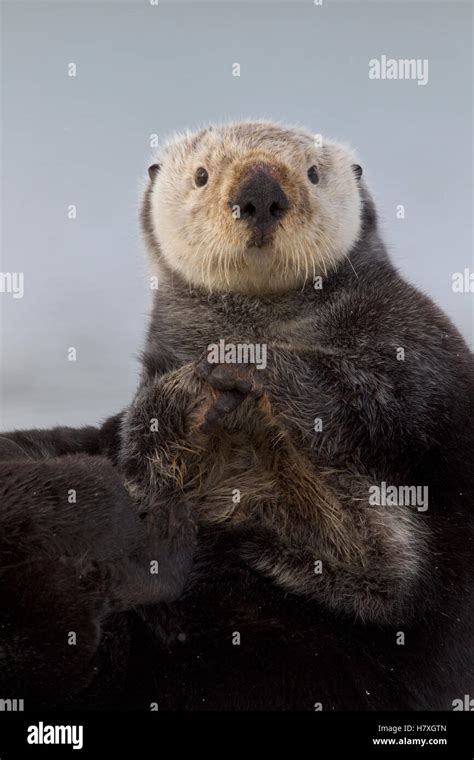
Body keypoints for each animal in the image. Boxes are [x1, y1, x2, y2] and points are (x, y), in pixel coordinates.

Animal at [0, 121, 474, 708]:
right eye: (202, 175)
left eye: (312, 174)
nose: (260, 194)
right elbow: (139, 436)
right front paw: (192, 394)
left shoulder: (413, 334)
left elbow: (387, 396)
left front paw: (250, 365)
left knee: (388, 567)